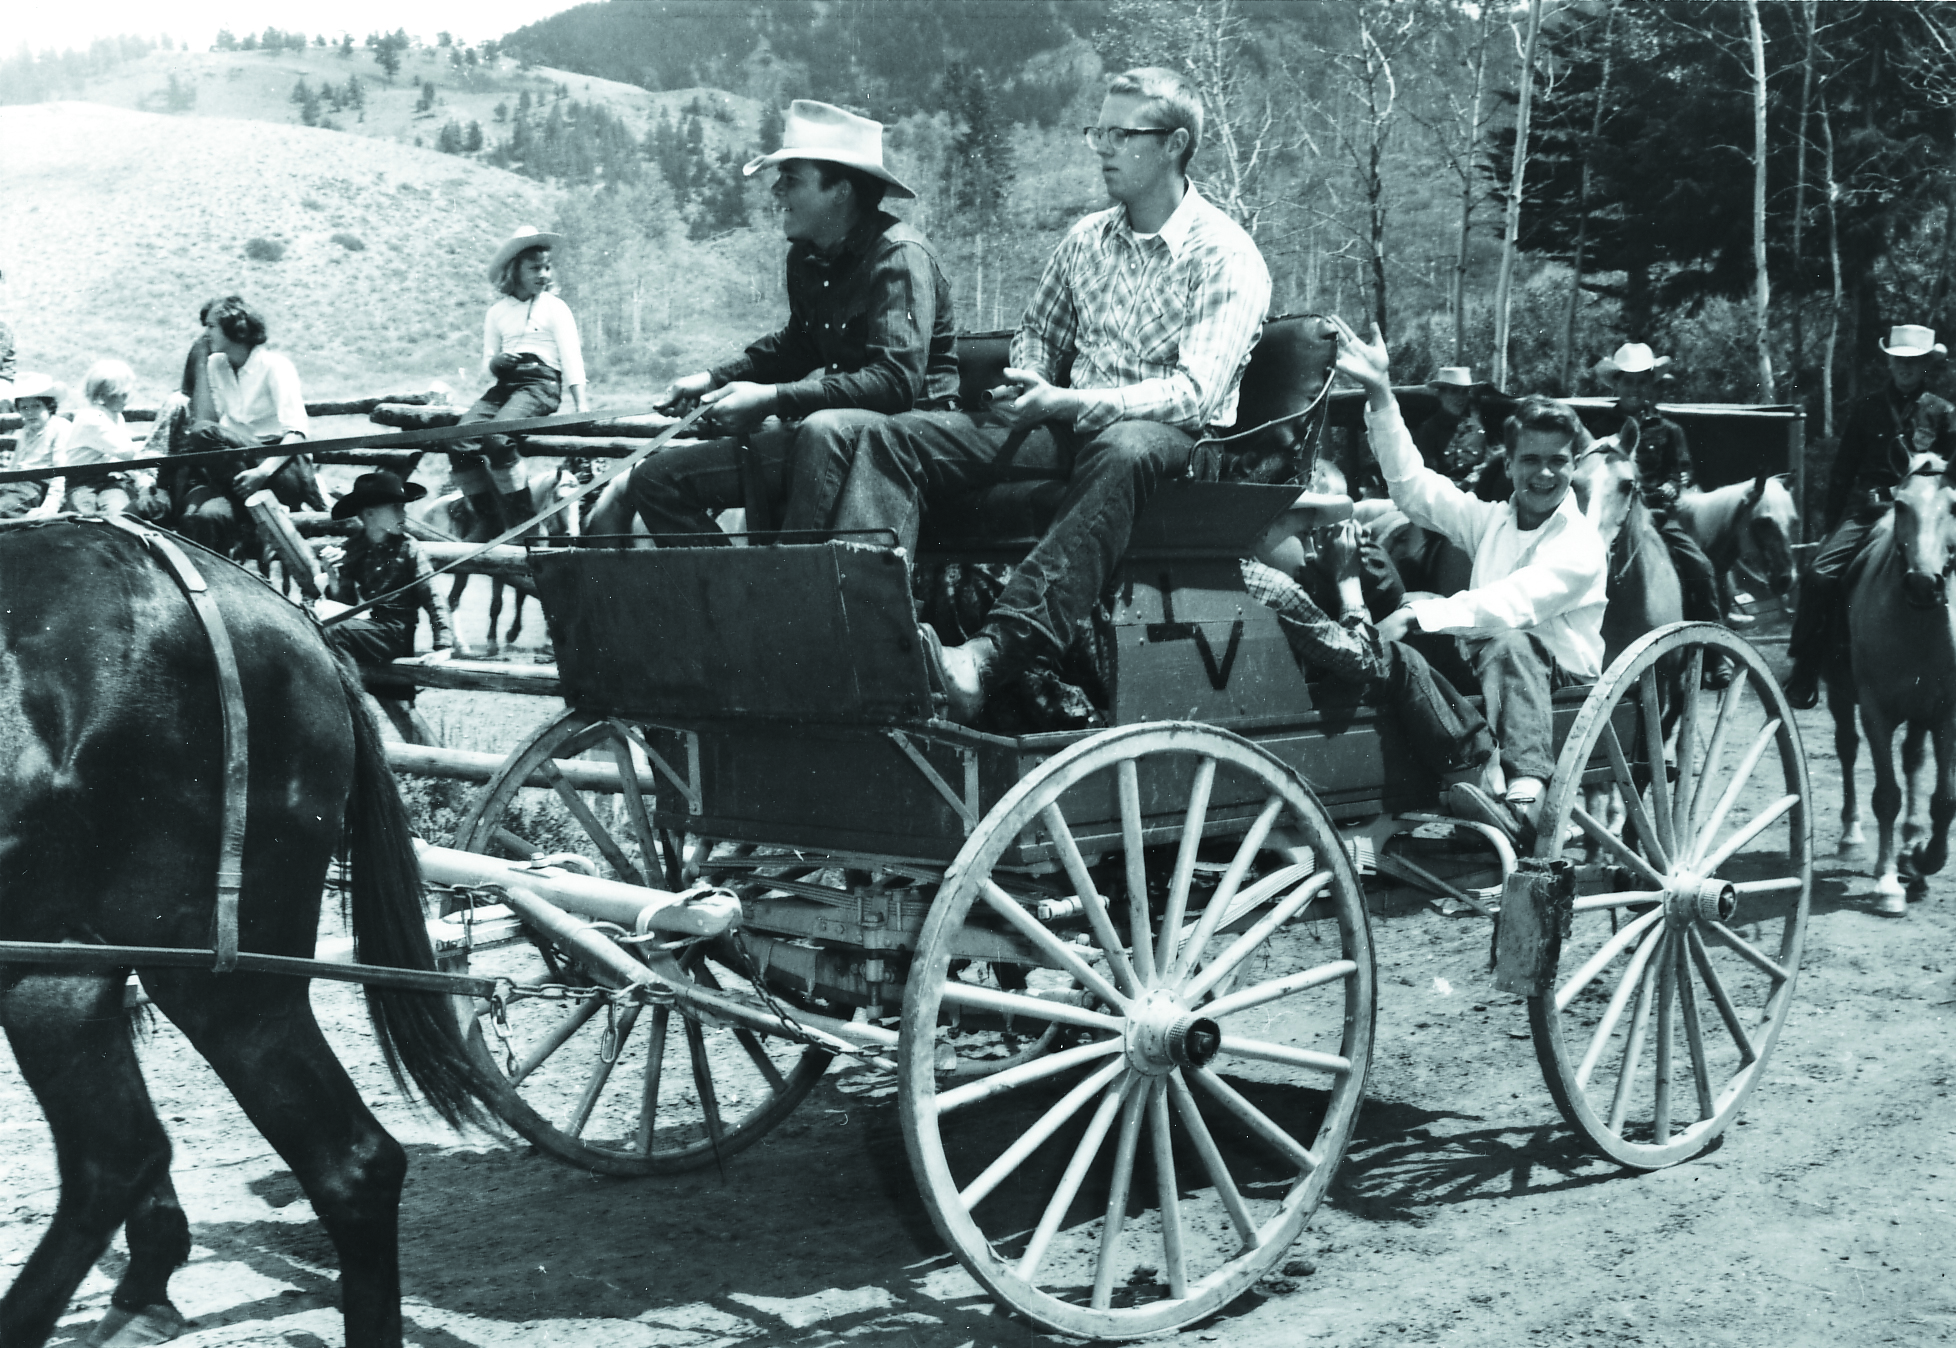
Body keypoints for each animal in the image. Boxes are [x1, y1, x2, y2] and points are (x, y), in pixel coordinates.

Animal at [1835, 456, 1956, 910]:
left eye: (1954, 506)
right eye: (1901, 505)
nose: (1924, 583)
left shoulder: (1946, 712)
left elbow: (1945, 800)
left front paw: (1922, 858)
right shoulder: (1875, 710)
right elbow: (1886, 795)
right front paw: (1888, 883)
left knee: (1913, 760)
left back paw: (1909, 850)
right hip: (1841, 696)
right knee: (1848, 750)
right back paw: (1851, 835)